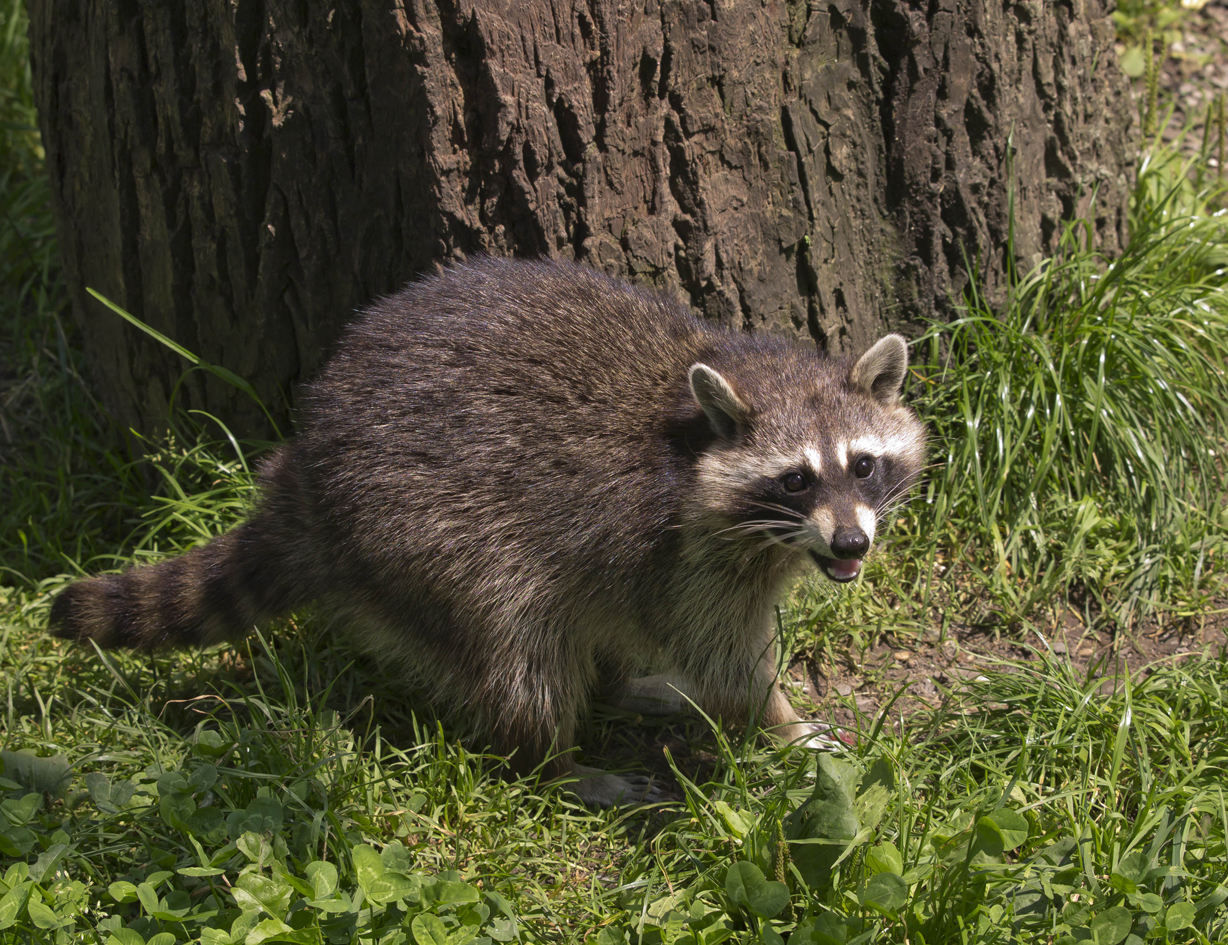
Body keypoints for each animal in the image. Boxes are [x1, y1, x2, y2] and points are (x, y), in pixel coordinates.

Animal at [52, 255, 923, 805]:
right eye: (796, 478)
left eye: (864, 465)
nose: (852, 545)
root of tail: (305, 479)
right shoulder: (681, 550)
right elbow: (723, 655)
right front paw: (781, 724)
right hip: (423, 529)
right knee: (521, 648)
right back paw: (553, 762)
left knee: (584, 621)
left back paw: (618, 683)